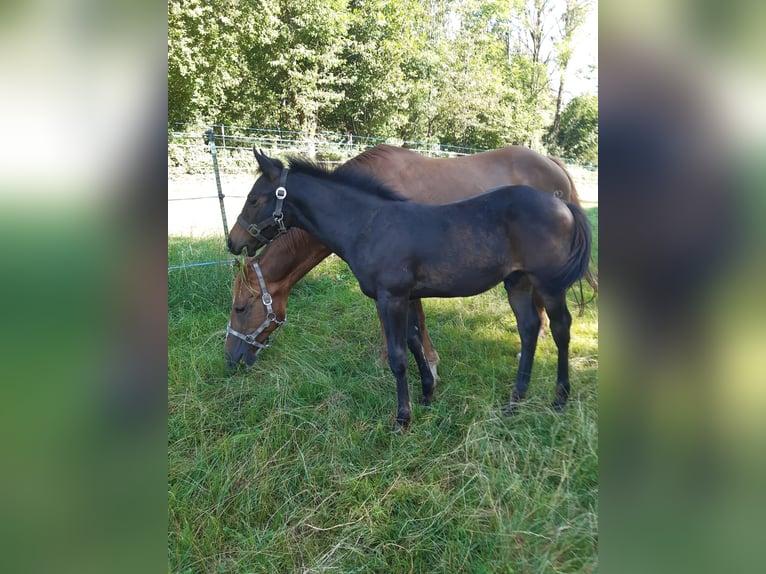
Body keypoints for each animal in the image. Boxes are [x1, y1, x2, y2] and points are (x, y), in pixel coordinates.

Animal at [225, 144, 596, 368]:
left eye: (240, 307)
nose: (233, 240)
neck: (363, 209)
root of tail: (552, 161)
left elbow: (414, 320)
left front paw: (425, 360)